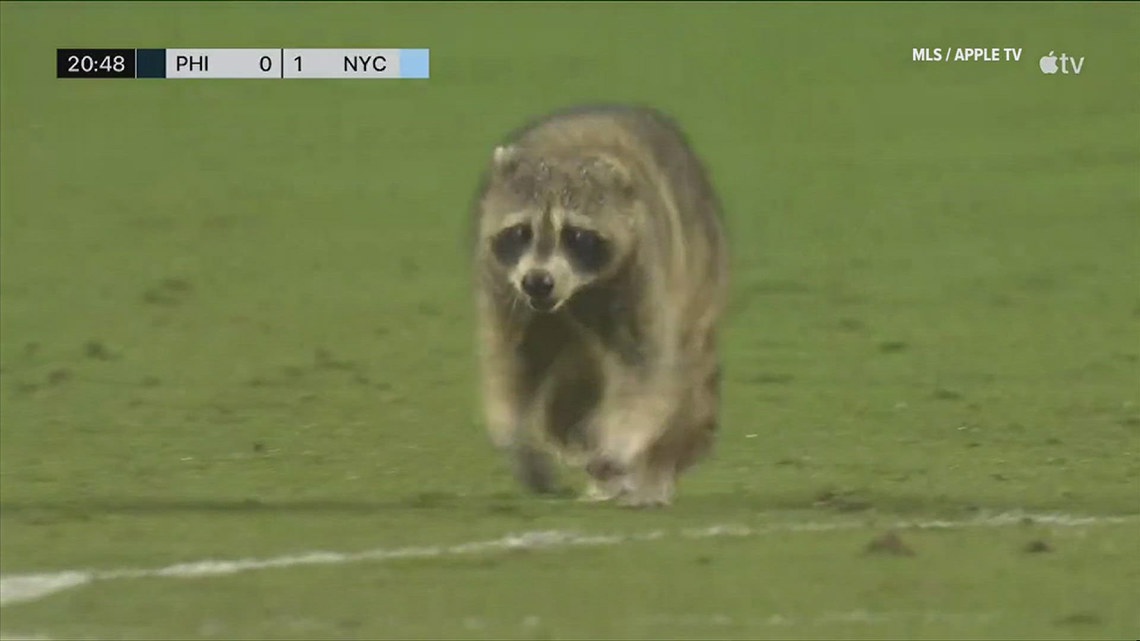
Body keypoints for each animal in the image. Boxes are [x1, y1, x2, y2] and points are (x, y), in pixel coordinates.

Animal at [471, 104, 729, 507]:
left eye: (576, 235)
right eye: (521, 232)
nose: (538, 281)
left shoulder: (643, 274)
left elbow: (645, 370)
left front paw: (621, 443)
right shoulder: (503, 287)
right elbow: (511, 365)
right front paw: (519, 443)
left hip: (698, 282)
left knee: (686, 385)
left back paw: (654, 471)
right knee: (567, 401)